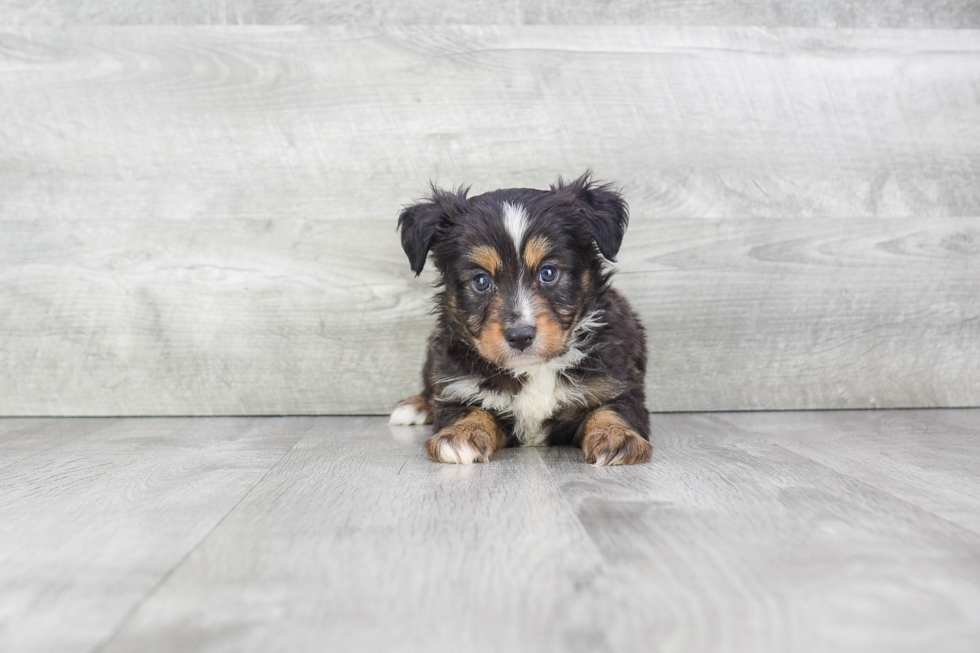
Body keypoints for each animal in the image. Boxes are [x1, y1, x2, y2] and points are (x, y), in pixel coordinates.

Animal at [388, 173, 652, 464]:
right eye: (481, 281)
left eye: (548, 273)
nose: (520, 336)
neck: (533, 369)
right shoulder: (458, 386)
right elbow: (468, 408)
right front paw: (460, 434)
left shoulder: (616, 384)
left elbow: (611, 410)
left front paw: (616, 437)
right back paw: (416, 406)